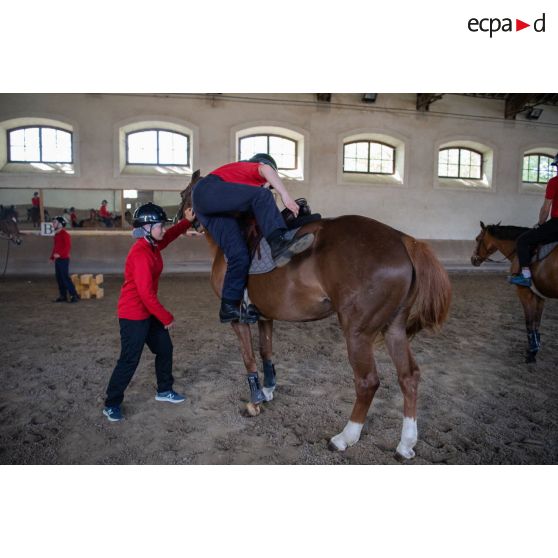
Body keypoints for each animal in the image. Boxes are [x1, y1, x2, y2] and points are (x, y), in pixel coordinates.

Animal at [182, 173, 452, 462]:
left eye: (184, 194)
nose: (181, 219)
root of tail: (403, 239)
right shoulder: (266, 316)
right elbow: (266, 352)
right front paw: (268, 390)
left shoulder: (238, 318)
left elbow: (248, 358)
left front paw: (255, 401)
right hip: (394, 328)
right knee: (409, 377)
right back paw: (406, 444)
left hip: (357, 332)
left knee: (368, 382)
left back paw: (346, 437)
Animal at [472, 221, 558, 366]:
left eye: (478, 239)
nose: (473, 259)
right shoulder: (540, 296)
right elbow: (537, 323)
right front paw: (535, 349)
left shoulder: (524, 293)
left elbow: (529, 322)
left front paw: (531, 353)